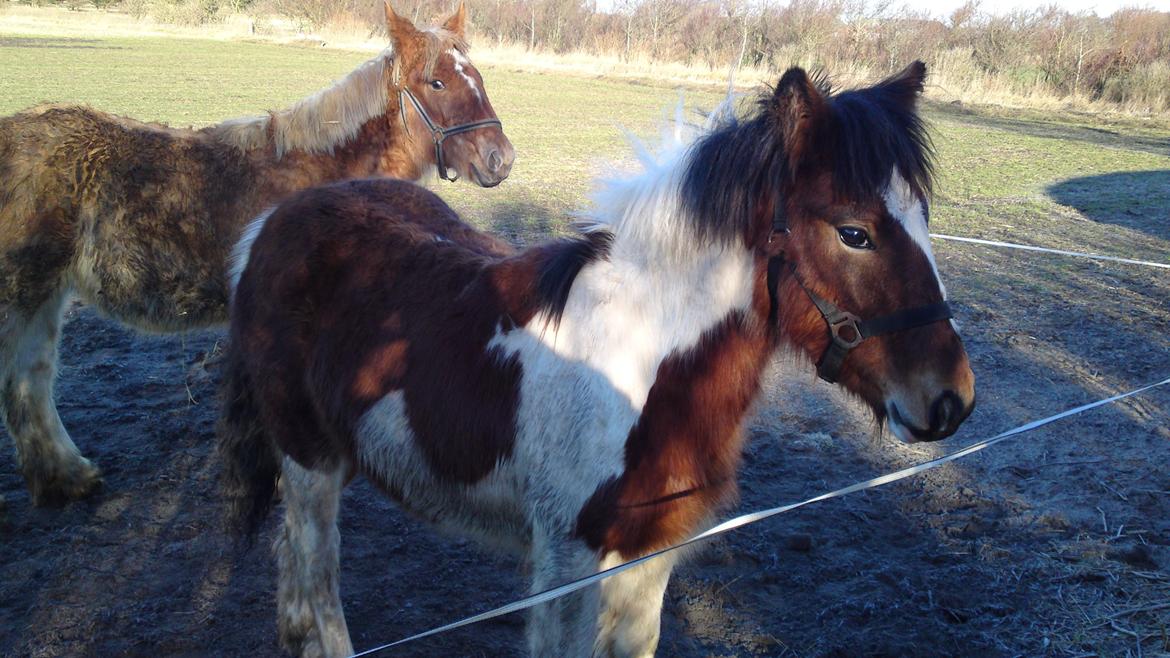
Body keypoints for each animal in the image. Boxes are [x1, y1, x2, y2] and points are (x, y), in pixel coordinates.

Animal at [0, 1, 512, 501]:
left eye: (480, 78)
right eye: (436, 82)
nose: (500, 158)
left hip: (45, 295)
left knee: (31, 377)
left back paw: (64, 475)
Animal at [223, 62, 973, 655]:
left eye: (924, 219)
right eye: (854, 233)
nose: (951, 399)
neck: (640, 363)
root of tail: (273, 223)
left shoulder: (644, 556)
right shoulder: (567, 562)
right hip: (310, 461)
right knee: (318, 585)